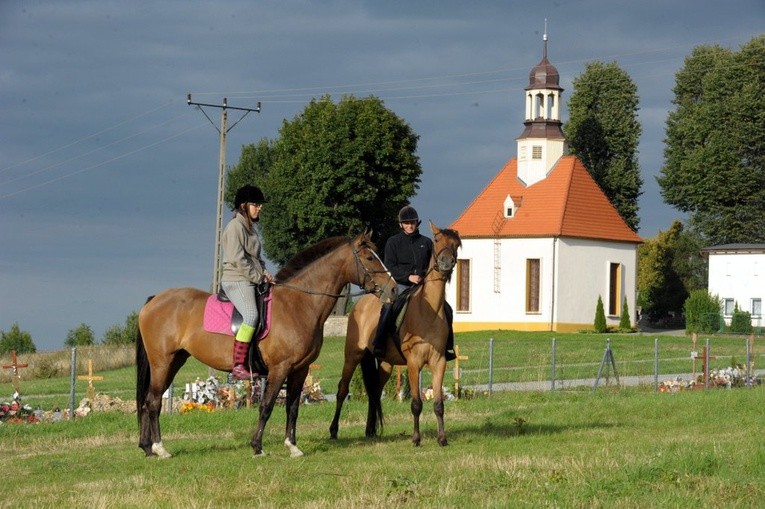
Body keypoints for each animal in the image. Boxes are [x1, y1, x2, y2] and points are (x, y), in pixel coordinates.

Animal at [136, 232, 394, 458]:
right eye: (370, 257)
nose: (393, 288)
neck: (298, 303)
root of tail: (154, 300)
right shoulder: (279, 368)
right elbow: (267, 406)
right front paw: (257, 447)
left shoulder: (300, 369)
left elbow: (292, 407)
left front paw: (292, 446)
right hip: (162, 362)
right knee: (154, 401)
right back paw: (160, 449)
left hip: (175, 361)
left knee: (149, 400)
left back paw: (147, 448)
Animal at [328, 222, 460, 444]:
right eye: (436, 240)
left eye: (457, 244)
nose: (446, 263)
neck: (428, 313)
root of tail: (361, 303)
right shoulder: (414, 363)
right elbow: (416, 404)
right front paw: (416, 439)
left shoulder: (438, 362)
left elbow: (438, 404)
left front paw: (442, 439)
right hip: (352, 356)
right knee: (342, 390)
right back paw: (334, 430)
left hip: (385, 364)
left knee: (374, 391)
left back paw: (370, 430)